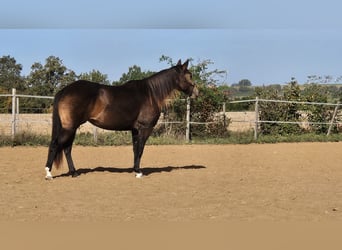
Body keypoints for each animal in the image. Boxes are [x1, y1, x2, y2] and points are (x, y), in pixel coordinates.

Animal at [45, 59, 199, 180]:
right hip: (69, 127)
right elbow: (141, 149)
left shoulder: (135, 130)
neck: (150, 94)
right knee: (55, 145)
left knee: (67, 149)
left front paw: (135, 169)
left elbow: (135, 149)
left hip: (72, 127)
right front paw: (139, 172)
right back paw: (49, 173)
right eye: (189, 75)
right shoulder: (145, 128)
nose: (197, 92)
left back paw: (74, 173)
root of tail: (64, 90)